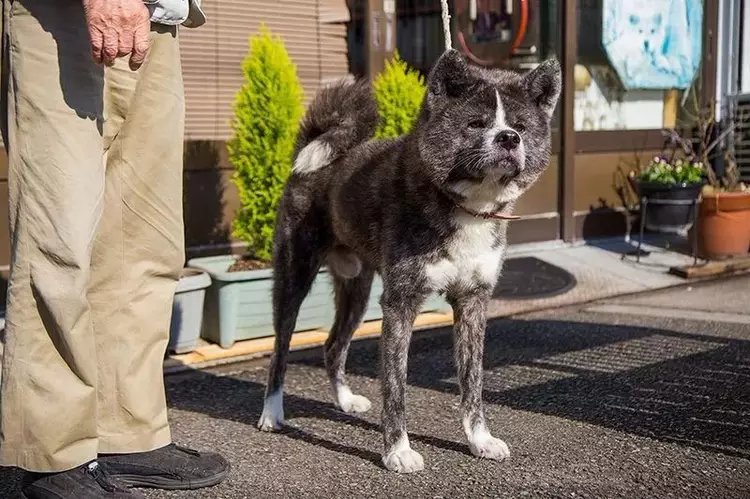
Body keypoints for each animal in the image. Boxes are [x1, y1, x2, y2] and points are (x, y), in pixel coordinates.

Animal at [260, 50, 564, 476]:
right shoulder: (400, 303)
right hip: (294, 276)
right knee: (280, 350)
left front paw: (480, 440)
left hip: (357, 290)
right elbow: (396, 387)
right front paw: (397, 451)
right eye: (476, 124)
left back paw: (345, 401)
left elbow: (473, 382)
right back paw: (272, 413)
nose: (508, 138)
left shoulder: (473, 302)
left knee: (333, 345)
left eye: (520, 127)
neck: (467, 207)